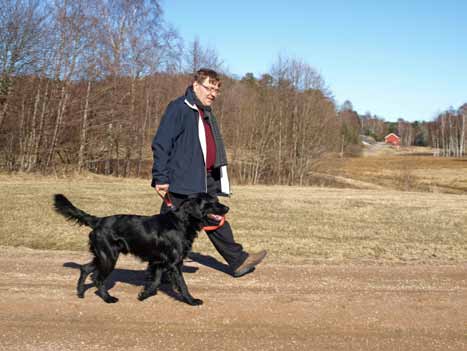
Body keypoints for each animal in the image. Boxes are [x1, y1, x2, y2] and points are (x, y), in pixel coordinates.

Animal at [54, 194, 229, 306]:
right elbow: (182, 284)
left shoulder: (159, 262)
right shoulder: (174, 263)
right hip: (109, 257)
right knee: (98, 278)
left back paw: (80, 292)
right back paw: (108, 298)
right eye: (212, 203)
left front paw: (143, 295)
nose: (227, 207)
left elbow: (155, 281)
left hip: (103, 256)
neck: (181, 221)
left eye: (218, 200)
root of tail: (98, 221)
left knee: (85, 268)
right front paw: (191, 301)